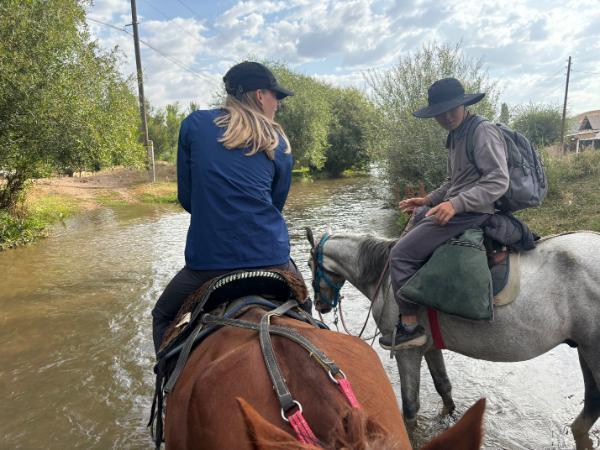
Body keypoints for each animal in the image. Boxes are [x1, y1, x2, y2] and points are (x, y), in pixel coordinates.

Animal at [308, 229, 600, 450]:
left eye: (311, 265)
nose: (319, 305)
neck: (386, 278)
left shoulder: (406, 352)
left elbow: (410, 407)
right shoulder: (428, 346)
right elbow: (443, 387)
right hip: (584, 350)